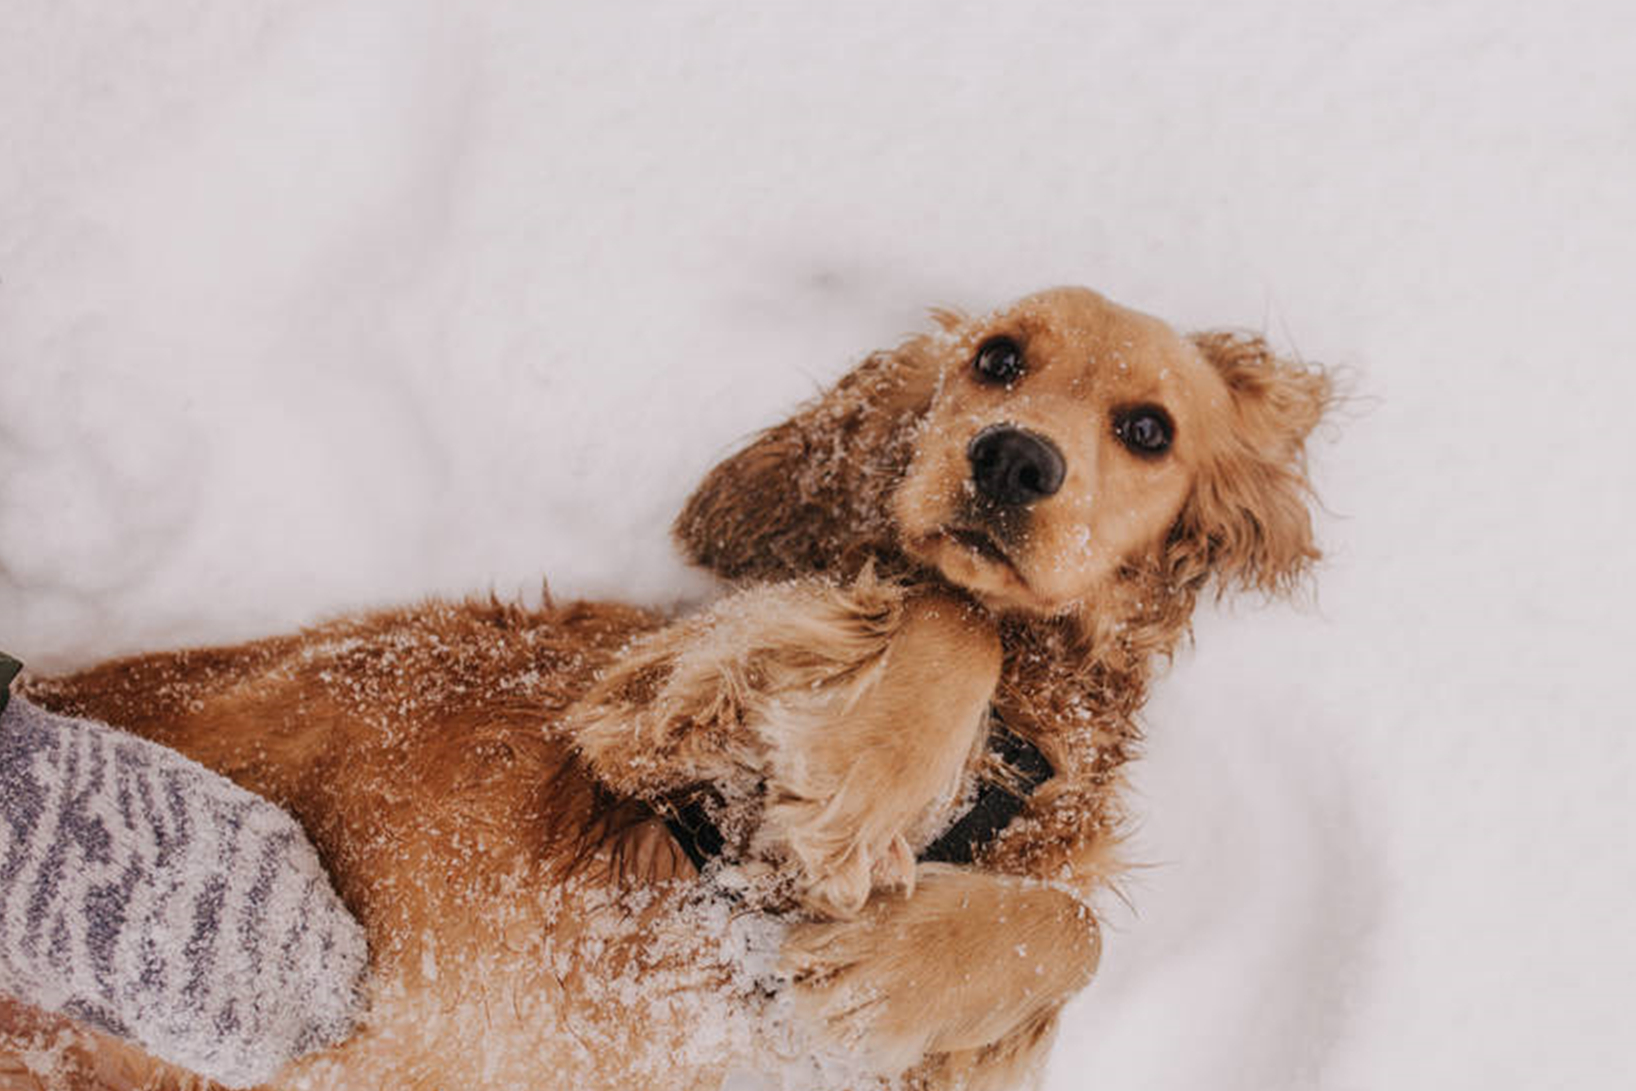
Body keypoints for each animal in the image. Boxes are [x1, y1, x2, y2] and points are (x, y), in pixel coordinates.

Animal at [0, 287, 1328, 1091]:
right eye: (996, 358)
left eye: (1148, 428)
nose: (1009, 458)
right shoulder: (645, 713)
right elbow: (952, 616)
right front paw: (862, 788)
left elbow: (1076, 925)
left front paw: (876, 974)